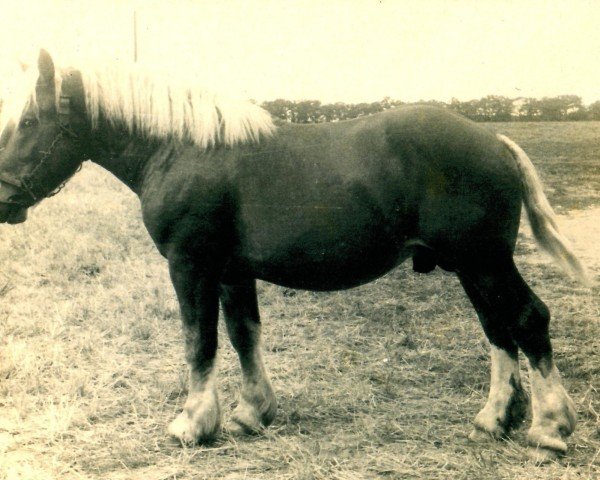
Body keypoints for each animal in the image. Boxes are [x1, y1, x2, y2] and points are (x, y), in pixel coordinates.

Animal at [0, 50, 584, 460]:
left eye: (27, 123)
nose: (4, 200)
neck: (181, 149)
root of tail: (494, 141)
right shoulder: (233, 273)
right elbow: (243, 336)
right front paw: (252, 413)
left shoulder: (191, 266)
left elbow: (199, 342)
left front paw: (193, 424)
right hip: (471, 268)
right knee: (497, 331)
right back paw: (494, 419)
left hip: (484, 263)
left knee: (527, 321)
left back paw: (550, 429)